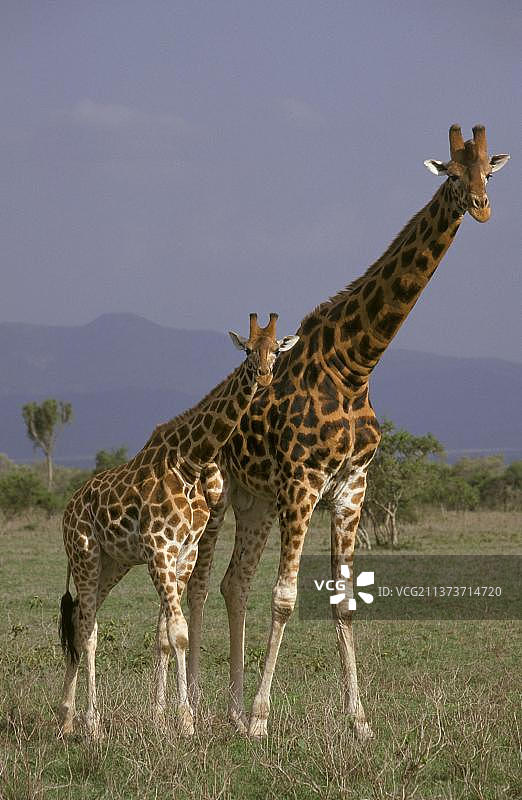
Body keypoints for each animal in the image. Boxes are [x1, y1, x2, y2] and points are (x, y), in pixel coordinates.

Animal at [57, 313, 299, 738]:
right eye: (247, 351)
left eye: (276, 351)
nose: (264, 376)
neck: (190, 459)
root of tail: (68, 510)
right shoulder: (159, 548)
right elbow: (179, 631)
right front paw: (185, 722)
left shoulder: (183, 551)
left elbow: (171, 635)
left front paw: (169, 721)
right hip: (85, 555)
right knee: (88, 631)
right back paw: (93, 725)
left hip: (111, 563)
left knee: (82, 622)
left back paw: (68, 719)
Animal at [185, 124, 510, 738]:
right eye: (452, 175)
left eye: (488, 171)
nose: (482, 207)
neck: (355, 366)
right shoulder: (302, 484)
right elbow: (285, 598)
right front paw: (263, 721)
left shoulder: (351, 488)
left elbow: (343, 601)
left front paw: (358, 721)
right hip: (215, 495)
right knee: (197, 582)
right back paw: (191, 711)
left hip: (254, 500)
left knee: (233, 582)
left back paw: (230, 711)